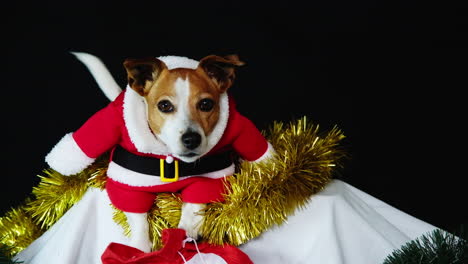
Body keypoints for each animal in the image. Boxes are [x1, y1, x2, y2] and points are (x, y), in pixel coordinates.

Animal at [45, 52, 272, 253]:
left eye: (206, 104)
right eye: (164, 105)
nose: (191, 139)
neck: (171, 159)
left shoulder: (212, 177)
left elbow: (195, 201)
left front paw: (187, 229)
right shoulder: (127, 186)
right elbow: (138, 218)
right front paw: (138, 248)